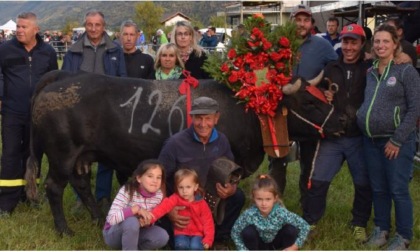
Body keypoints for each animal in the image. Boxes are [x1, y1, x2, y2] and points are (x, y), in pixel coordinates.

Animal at [23, 70, 344, 235]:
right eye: (309, 103)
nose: (343, 121)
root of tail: (64, 75)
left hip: (82, 157)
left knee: (81, 185)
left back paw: (98, 217)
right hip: (62, 155)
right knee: (54, 188)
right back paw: (64, 230)